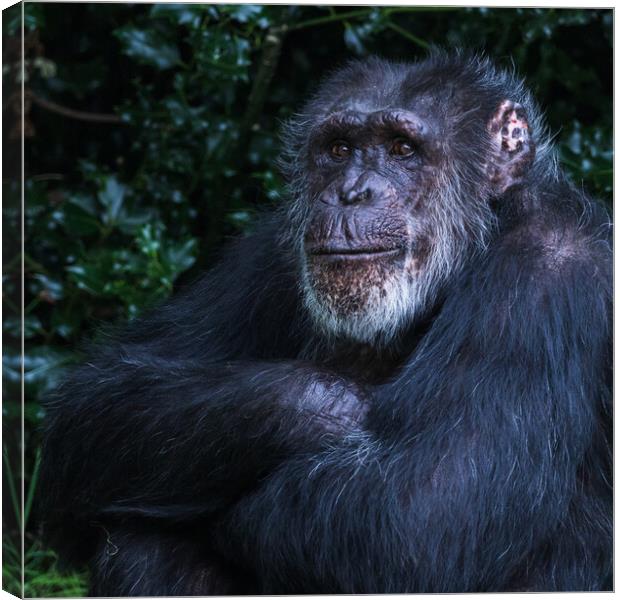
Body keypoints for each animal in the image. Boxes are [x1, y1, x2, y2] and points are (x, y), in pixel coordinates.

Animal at [38, 51, 612, 596]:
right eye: (338, 149)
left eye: (402, 149)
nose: (351, 191)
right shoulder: (269, 251)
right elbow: (99, 399)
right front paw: (336, 407)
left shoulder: (546, 272)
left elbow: (423, 507)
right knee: (141, 536)